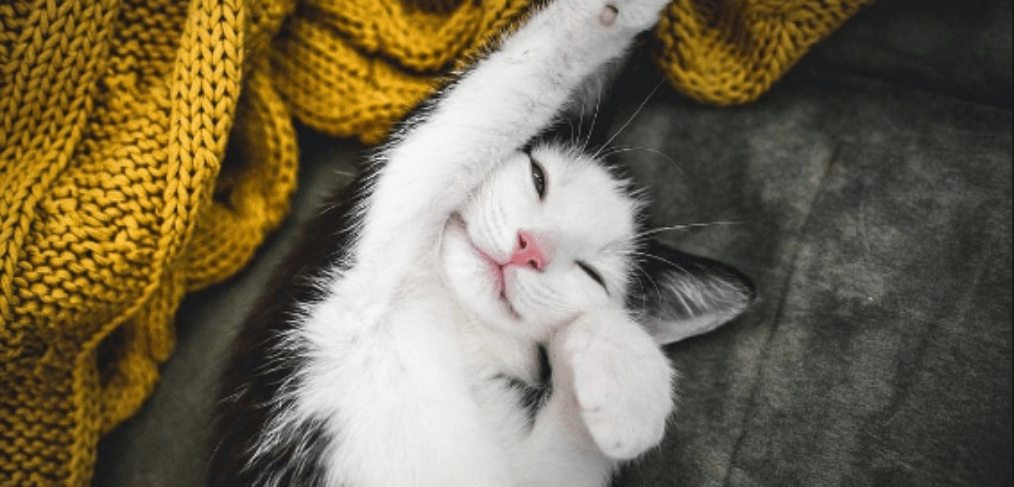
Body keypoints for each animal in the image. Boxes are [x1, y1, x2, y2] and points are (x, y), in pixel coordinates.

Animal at [211, 0, 754, 487]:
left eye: (591, 273)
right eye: (538, 178)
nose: (529, 249)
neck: (458, 325)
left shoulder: (520, 471)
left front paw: (625, 388)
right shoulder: (357, 245)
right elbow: (492, 97)